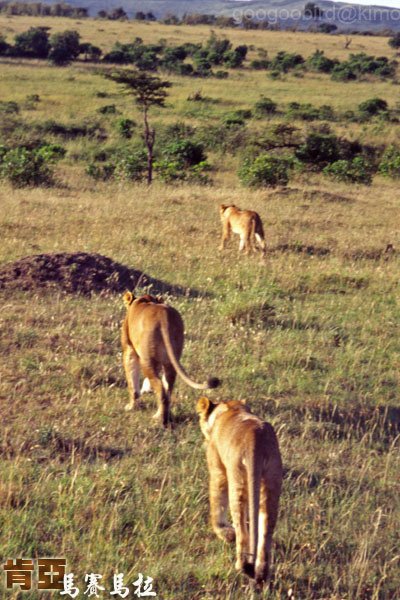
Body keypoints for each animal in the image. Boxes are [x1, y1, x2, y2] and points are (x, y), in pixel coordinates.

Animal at [120, 294, 220, 426]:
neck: (144, 299)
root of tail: (163, 316)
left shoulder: (129, 349)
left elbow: (132, 382)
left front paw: (131, 407)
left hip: (146, 360)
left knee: (160, 388)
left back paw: (160, 420)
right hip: (170, 361)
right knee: (168, 388)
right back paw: (161, 415)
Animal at [196, 396, 282, 584]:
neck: (230, 408)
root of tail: (256, 437)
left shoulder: (218, 469)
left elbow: (217, 501)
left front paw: (222, 531)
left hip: (237, 478)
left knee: (242, 530)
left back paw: (241, 565)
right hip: (271, 481)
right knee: (266, 530)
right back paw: (261, 574)